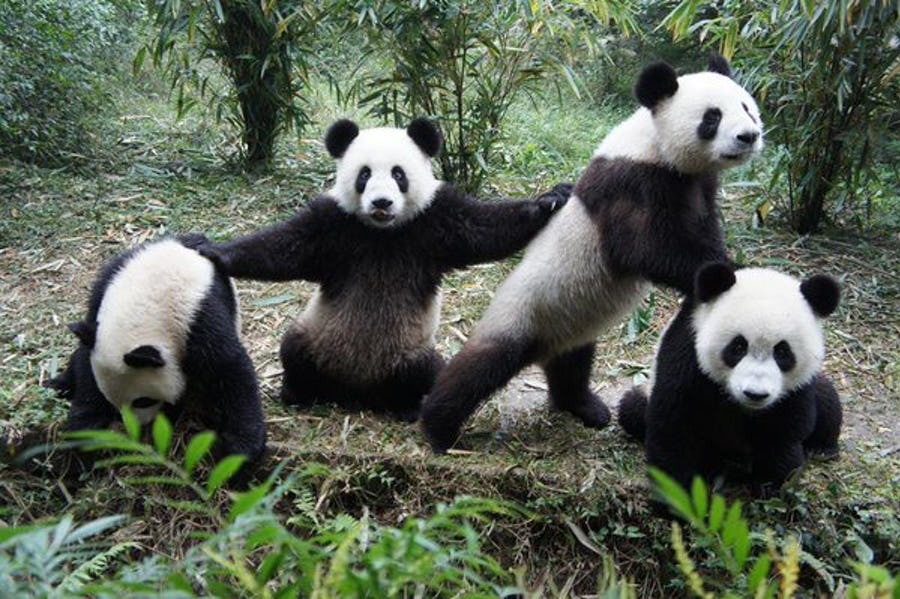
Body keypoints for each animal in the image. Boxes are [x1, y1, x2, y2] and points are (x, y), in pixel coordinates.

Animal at [48, 235, 265, 462]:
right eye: (112, 400)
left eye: (142, 401)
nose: (137, 427)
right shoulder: (100, 311)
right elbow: (86, 367)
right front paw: (84, 429)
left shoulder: (197, 319)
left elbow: (230, 369)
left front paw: (241, 447)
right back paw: (57, 384)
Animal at [198, 118, 568, 421]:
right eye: (364, 174)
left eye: (398, 174)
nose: (381, 203)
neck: (382, 232)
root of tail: (356, 389)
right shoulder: (335, 223)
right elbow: (284, 248)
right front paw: (214, 251)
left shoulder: (434, 220)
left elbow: (486, 230)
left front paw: (551, 200)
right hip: (317, 333)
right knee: (293, 351)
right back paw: (298, 391)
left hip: (410, 349)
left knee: (426, 372)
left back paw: (406, 406)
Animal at [420, 54, 764, 451]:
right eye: (712, 117)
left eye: (746, 107)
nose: (749, 136)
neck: (654, 147)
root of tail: (542, 348)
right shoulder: (630, 184)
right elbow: (643, 248)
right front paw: (724, 271)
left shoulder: (699, 188)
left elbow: (700, 232)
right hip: (523, 312)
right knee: (481, 366)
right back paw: (438, 425)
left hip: (571, 318)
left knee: (573, 364)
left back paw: (586, 407)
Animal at [617, 262, 842, 497]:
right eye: (738, 346)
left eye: (782, 352)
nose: (755, 394)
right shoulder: (688, 355)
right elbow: (673, 426)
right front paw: (676, 496)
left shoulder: (796, 390)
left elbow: (784, 431)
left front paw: (769, 485)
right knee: (632, 408)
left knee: (827, 398)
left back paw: (822, 448)